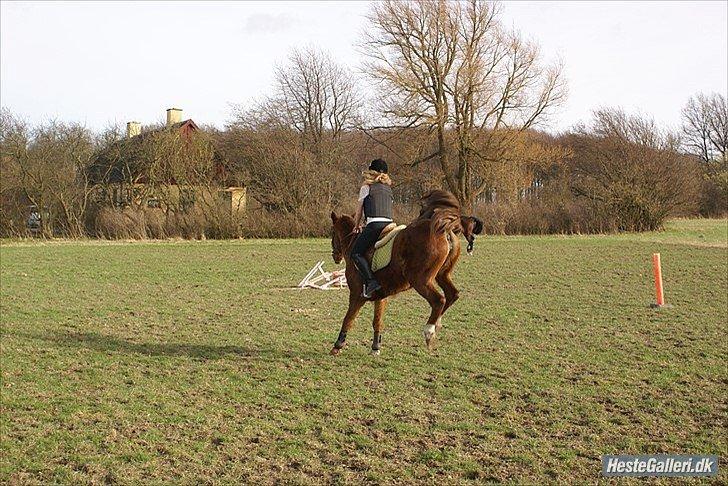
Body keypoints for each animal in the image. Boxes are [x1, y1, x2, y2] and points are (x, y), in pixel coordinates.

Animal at [330, 188, 484, 356]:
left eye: (332, 232)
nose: (335, 256)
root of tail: (442, 229)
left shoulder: (356, 295)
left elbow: (348, 319)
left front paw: (337, 345)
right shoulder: (381, 297)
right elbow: (377, 321)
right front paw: (375, 347)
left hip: (420, 280)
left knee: (439, 300)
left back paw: (429, 331)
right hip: (441, 275)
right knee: (452, 294)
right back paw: (437, 323)